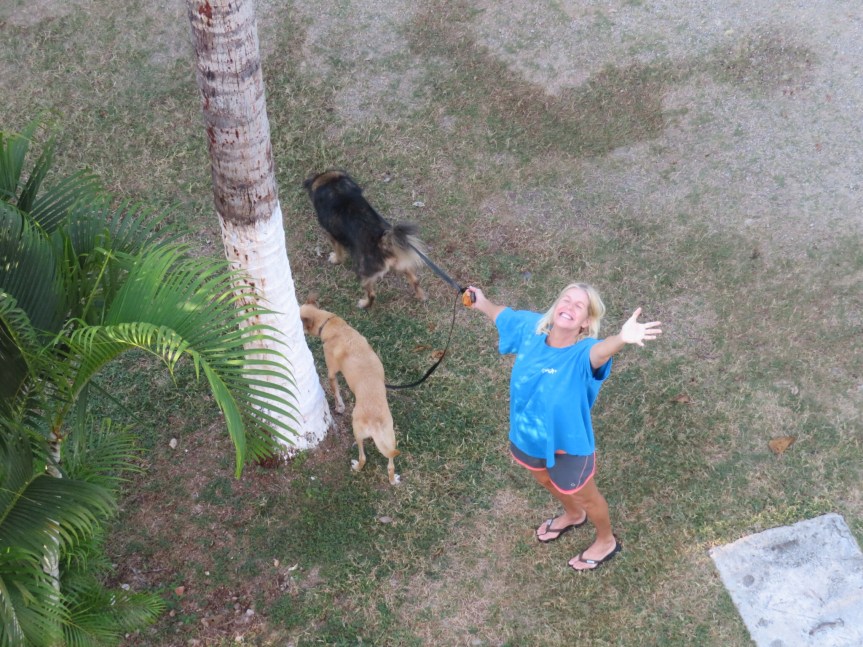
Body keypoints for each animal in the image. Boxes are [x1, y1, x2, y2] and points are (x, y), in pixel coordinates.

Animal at [299, 295, 400, 485]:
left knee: (363, 457)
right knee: (390, 463)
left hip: (357, 430)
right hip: (389, 437)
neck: (329, 322)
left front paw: (339, 407)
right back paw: (392, 479)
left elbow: (336, 392)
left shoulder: (332, 373)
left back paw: (356, 466)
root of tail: (375, 422)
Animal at [303, 170, 427, 309]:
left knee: (372, 295)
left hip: (363, 274)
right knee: (415, 280)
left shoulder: (332, 235)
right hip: (401, 265)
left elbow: (338, 252)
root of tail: (383, 243)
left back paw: (364, 304)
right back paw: (420, 296)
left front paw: (335, 259)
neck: (336, 187)